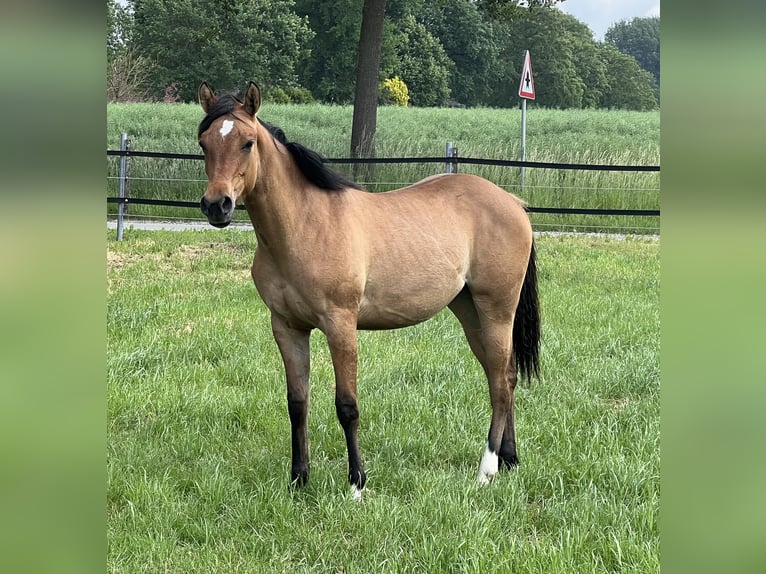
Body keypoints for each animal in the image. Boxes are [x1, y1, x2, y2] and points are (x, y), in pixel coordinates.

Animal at [197, 81, 540, 498]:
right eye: (204, 142)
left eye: (247, 142)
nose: (217, 206)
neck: (304, 225)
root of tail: (513, 203)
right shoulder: (287, 327)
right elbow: (297, 402)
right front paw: (299, 480)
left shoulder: (340, 325)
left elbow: (347, 405)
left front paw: (356, 484)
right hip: (469, 311)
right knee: (504, 375)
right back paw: (510, 460)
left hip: (497, 310)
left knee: (500, 383)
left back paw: (487, 468)